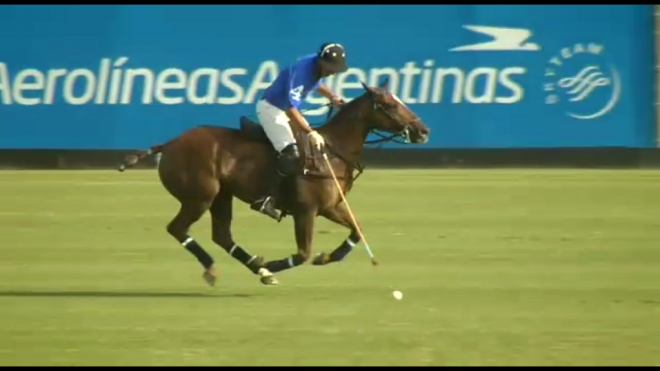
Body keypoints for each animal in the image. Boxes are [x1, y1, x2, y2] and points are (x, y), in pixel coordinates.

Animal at [116, 79, 430, 288]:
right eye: (390, 105)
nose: (423, 130)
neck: (332, 151)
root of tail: (169, 143)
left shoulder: (330, 206)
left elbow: (357, 229)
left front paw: (326, 257)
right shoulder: (306, 210)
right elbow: (303, 254)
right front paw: (274, 263)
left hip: (221, 196)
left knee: (222, 235)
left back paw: (257, 269)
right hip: (200, 196)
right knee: (178, 229)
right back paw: (225, 268)